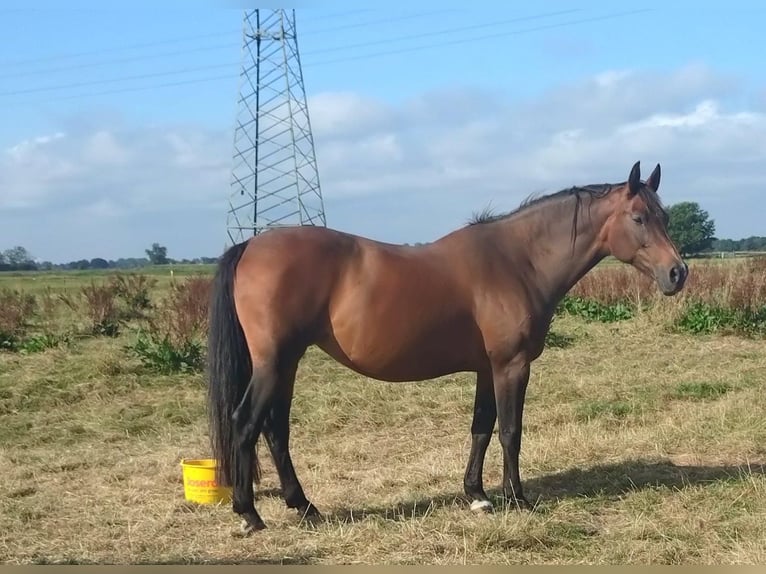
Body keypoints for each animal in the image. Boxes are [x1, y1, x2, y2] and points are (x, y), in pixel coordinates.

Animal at [206, 160, 688, 534]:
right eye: (639, 218)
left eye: (664, 216)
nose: (678, 273)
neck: (518, 262)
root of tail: (251, 243)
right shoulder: (511, 365)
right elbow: (510, 430)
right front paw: (517, 498)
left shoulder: (486, 368)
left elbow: (481, 427)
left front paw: (477, 495)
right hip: (273, 362)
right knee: (246, 424)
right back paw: (250, 515)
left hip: (287, 362)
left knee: (276, 429)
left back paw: (304, 506)